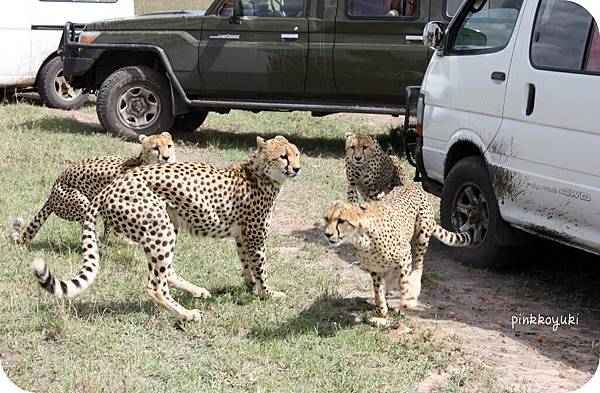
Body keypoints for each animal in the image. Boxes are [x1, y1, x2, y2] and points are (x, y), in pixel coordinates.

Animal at [30, 135, 302, 318]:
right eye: (284, 156)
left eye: (297, 153)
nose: (298, 168)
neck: (260, 174)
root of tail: (111, 187)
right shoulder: (255, 237)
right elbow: (261, 268)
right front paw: (268, 294)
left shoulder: (243, 236)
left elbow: (247, 264)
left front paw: (250, 287)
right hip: (160, 227)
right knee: (155, 285)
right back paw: (186, 314)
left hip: (167, 224)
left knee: (167, 271)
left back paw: (196, 292)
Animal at [324, 185, 468, 324]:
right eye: (326, 219)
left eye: (341, 221)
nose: (327, 234)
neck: (361, 238)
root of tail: (410, 185)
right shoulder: (375, 267)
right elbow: (378, 292)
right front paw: (382, 314)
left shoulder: (405, 252)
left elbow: (404, 282)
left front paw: (405, 304)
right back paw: (391, 285)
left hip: (422, 234)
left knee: (418, 263)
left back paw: (412, 286)